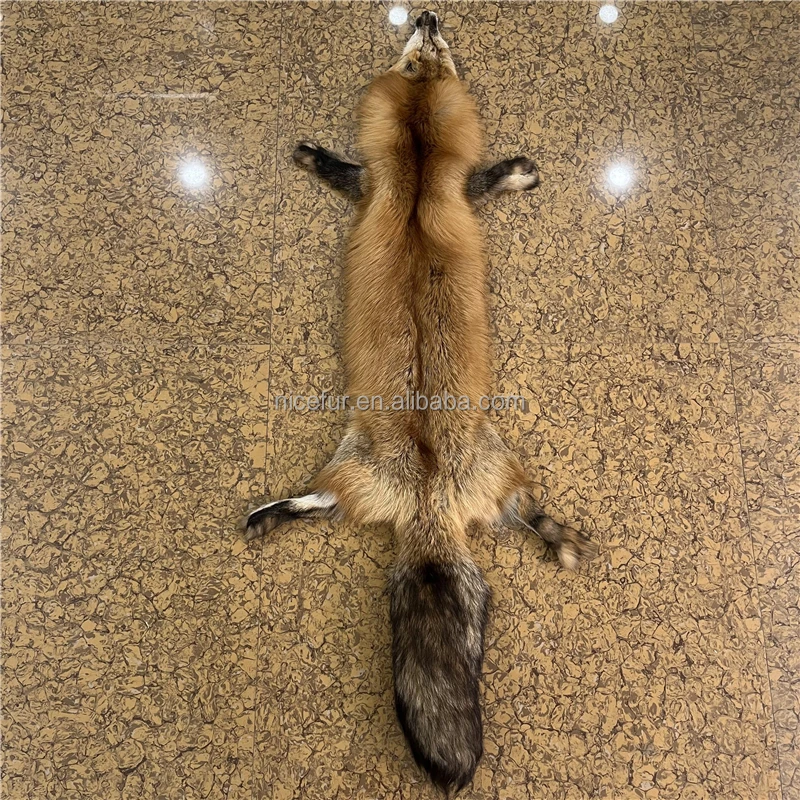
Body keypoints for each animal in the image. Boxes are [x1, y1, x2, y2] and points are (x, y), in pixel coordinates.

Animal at [241, 10, 597, 795]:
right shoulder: (423, 181)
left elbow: (356, 170)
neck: (415, 179)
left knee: (336, 502)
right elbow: (473, 177)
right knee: (510, 512)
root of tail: (429, 496)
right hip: (462, 464)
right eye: (417, 55)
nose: (428, 15)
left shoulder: (391, 180)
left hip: (396, 460)